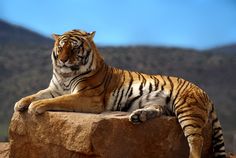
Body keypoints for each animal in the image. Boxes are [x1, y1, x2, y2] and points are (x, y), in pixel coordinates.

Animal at [14, 29, 227, 157]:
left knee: (196, 139)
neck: (66, 74)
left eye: (74, 48)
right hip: (161, 104)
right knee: (157, 111)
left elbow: (61, 100)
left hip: (187, 110)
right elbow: (37, 93)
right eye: (61, 47)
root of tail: (204, 91)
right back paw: (138, 117)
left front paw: (36, 106)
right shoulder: (53, 89)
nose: (64, 60)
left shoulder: (88, 98)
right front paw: (21, 103)